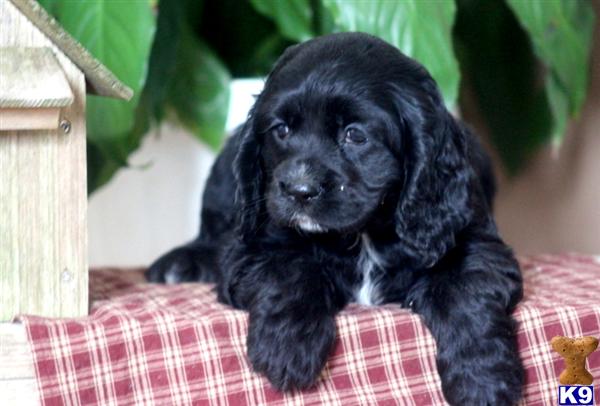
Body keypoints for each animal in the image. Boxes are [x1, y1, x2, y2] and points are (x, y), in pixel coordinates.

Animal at [148, 33, 524, 404]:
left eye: (355, 135)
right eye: (281, 130)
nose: (299, 191)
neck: (364, 233)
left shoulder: (473, 241)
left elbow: (466, 292)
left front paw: (484, 380)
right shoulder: (254, 245)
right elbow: (289, 268)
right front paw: (286, 347)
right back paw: (179, 263)